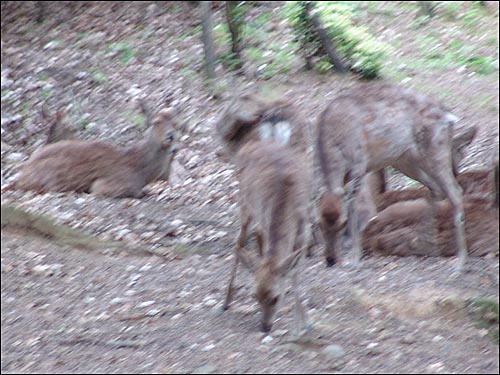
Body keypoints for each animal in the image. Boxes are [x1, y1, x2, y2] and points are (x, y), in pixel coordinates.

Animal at [3, 101, 180, 198]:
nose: (171, 135)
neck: (142, 172)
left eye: (174, 122)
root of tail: (21, 176)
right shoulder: (107, 185)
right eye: (156, 122)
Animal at [224, 140, 312, 334]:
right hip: (245, 203)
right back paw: (226, 301)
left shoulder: (303, 233)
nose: (265, 327)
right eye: (255, 296)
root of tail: (249, 144)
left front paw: (303, 324)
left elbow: (296, 276)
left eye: (275, 298)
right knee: (239, 242)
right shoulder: (265, 222)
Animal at [316, 81, 472, 270]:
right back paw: (424, 243)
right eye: (318, 223)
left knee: (455, 191)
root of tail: (448, 116)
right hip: (406, 159)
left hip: (436, 149)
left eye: (343, 223)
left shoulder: (359, 164)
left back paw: (460, 263)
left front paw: (354, 259)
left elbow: (353, 205)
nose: (330, 260)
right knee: (436, 190)